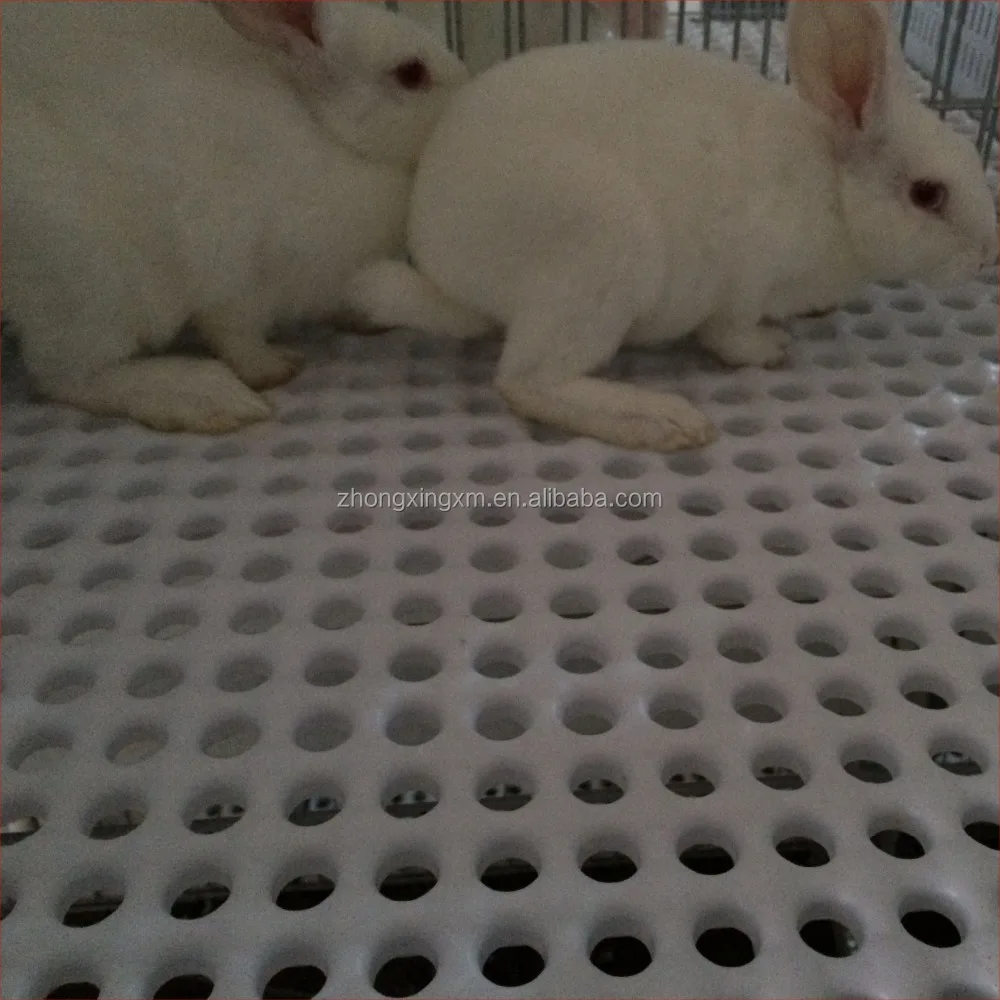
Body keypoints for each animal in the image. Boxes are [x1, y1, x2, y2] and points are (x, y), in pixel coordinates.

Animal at [1, 0, 468, 433]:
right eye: (411, 73)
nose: (466, 92)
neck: (327, 133)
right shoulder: (239, 273)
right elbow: (235, 333)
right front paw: (273, 368)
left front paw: (363, 321)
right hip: (88, 281)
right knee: (67, 375)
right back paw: (205, 396)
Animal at [362, 0, 998, 453]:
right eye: (928, 194)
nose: (989, 254)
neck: (835, 194)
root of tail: (437, 259)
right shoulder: (744, 285)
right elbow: (731, 335)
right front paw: (771, 350)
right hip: (600, 253)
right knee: (526, 380)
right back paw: (666, 423)